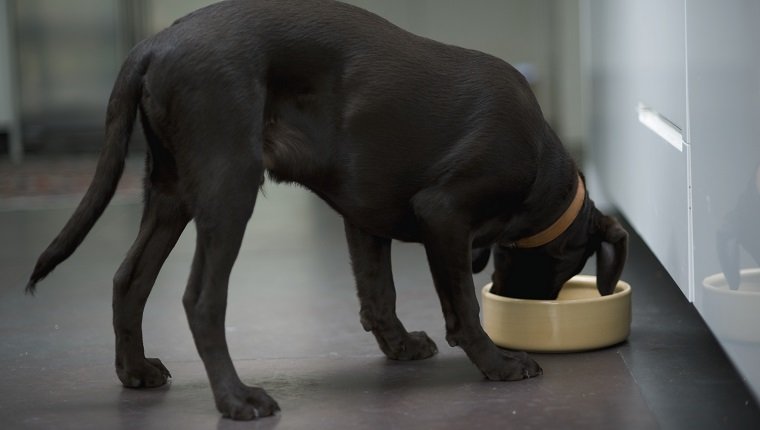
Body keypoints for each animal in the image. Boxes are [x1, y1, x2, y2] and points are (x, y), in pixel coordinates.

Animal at [26, 0, 628, 422]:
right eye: (568, 265)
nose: (530, 313)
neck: (541, 165)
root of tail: (152, 44)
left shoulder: (364, 219)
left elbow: (379, 296)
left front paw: (401, 346)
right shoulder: (444, 213)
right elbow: (462, 308)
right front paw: (500, 364)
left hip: (170, 193)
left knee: (129, 279)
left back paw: (135, 371)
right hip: (229, 187)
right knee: (201, 300)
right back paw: (237, 400)